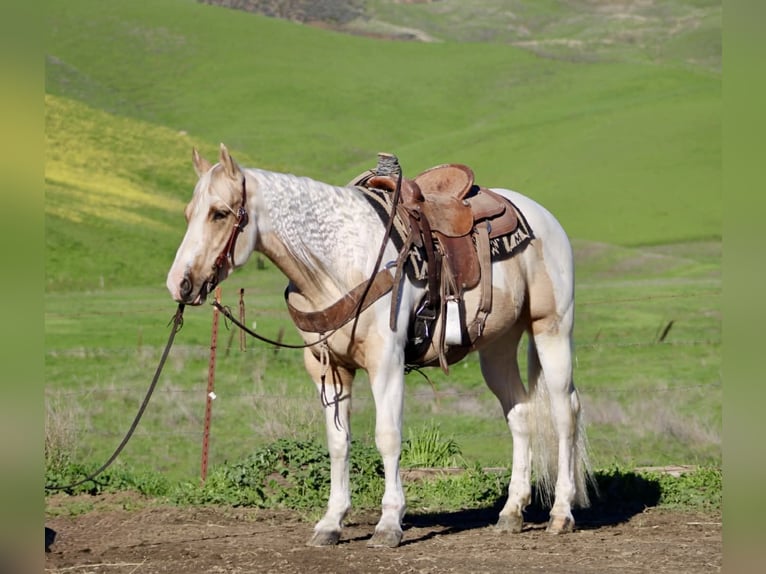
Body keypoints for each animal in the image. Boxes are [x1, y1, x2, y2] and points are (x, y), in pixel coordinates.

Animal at [166, 144, 593, 547]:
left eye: (219, 213)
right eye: (188, 213)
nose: (179, 284)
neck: (338, 261)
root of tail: (542, 216)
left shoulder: (385, 363)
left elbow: (387, 437)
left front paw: (389, 524)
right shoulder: (328, 369)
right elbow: (338, 443)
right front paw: (331, 523)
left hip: (551, 330)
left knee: (564, 412)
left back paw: (561, 514)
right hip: (497, 346)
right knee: (520, 413)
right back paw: (511, 512)